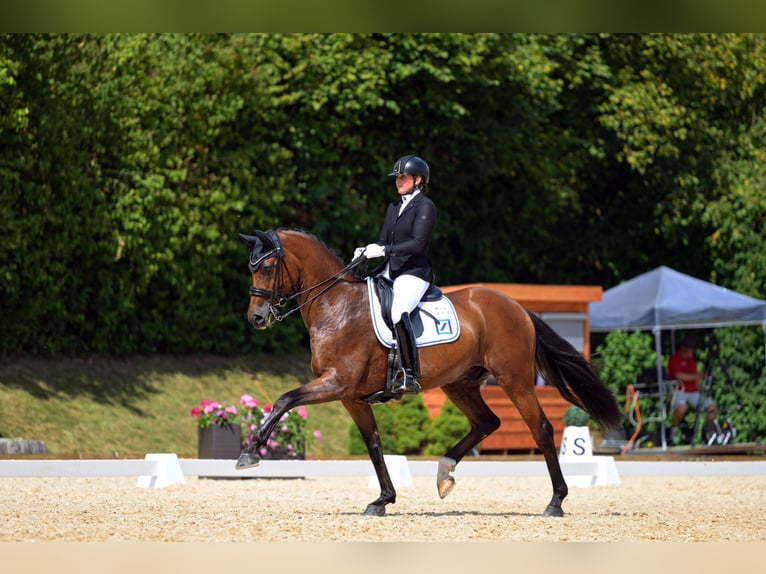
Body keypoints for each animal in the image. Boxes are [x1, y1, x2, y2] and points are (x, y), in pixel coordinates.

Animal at [234, 228, 624, 516]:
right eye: (251, 268)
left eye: (266, 268)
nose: (256, 318)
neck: (337, 306)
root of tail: (517, 307)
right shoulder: (351, 398)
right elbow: (373, 444)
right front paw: (383, 500)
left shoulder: (336, 383)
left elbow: (284, 398)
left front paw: (250, 452)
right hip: (460, 384)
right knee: (487, 422)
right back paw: (444, 474)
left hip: (515, 380)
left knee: (540, 429)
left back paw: (555, 501)